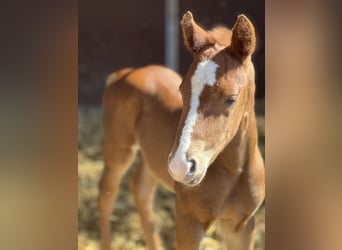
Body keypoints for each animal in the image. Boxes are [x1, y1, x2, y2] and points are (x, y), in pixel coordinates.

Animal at [97, 11, 266, 250]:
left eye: (231, 98)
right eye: (182, 89)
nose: (181, 166)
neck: (235, 172)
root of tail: (125, 73)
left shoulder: (242, 225)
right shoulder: (188, 222)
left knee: (141, 190)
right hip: (119, 149)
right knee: (106, 196)